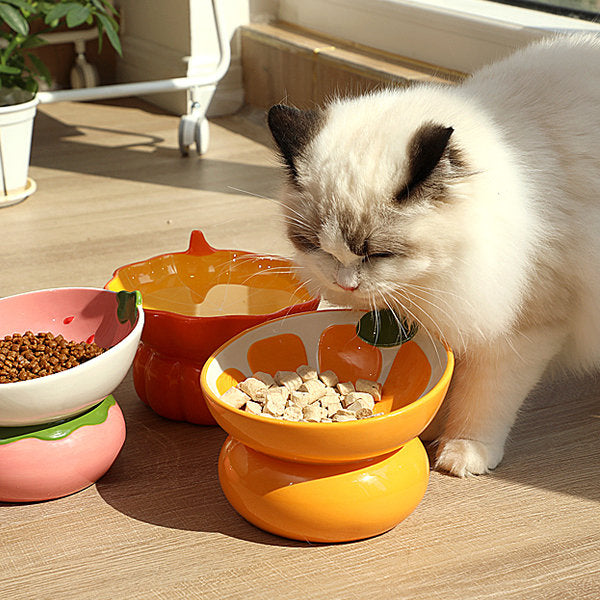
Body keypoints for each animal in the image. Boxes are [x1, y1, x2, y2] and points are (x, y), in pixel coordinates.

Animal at [266, 34, 600, 478]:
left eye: (379, 254)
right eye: (316, 247)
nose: (344, 284)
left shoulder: (521, 331)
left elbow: (483, 400)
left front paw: (462, 452)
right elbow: (448, 382)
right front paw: (432, 424)